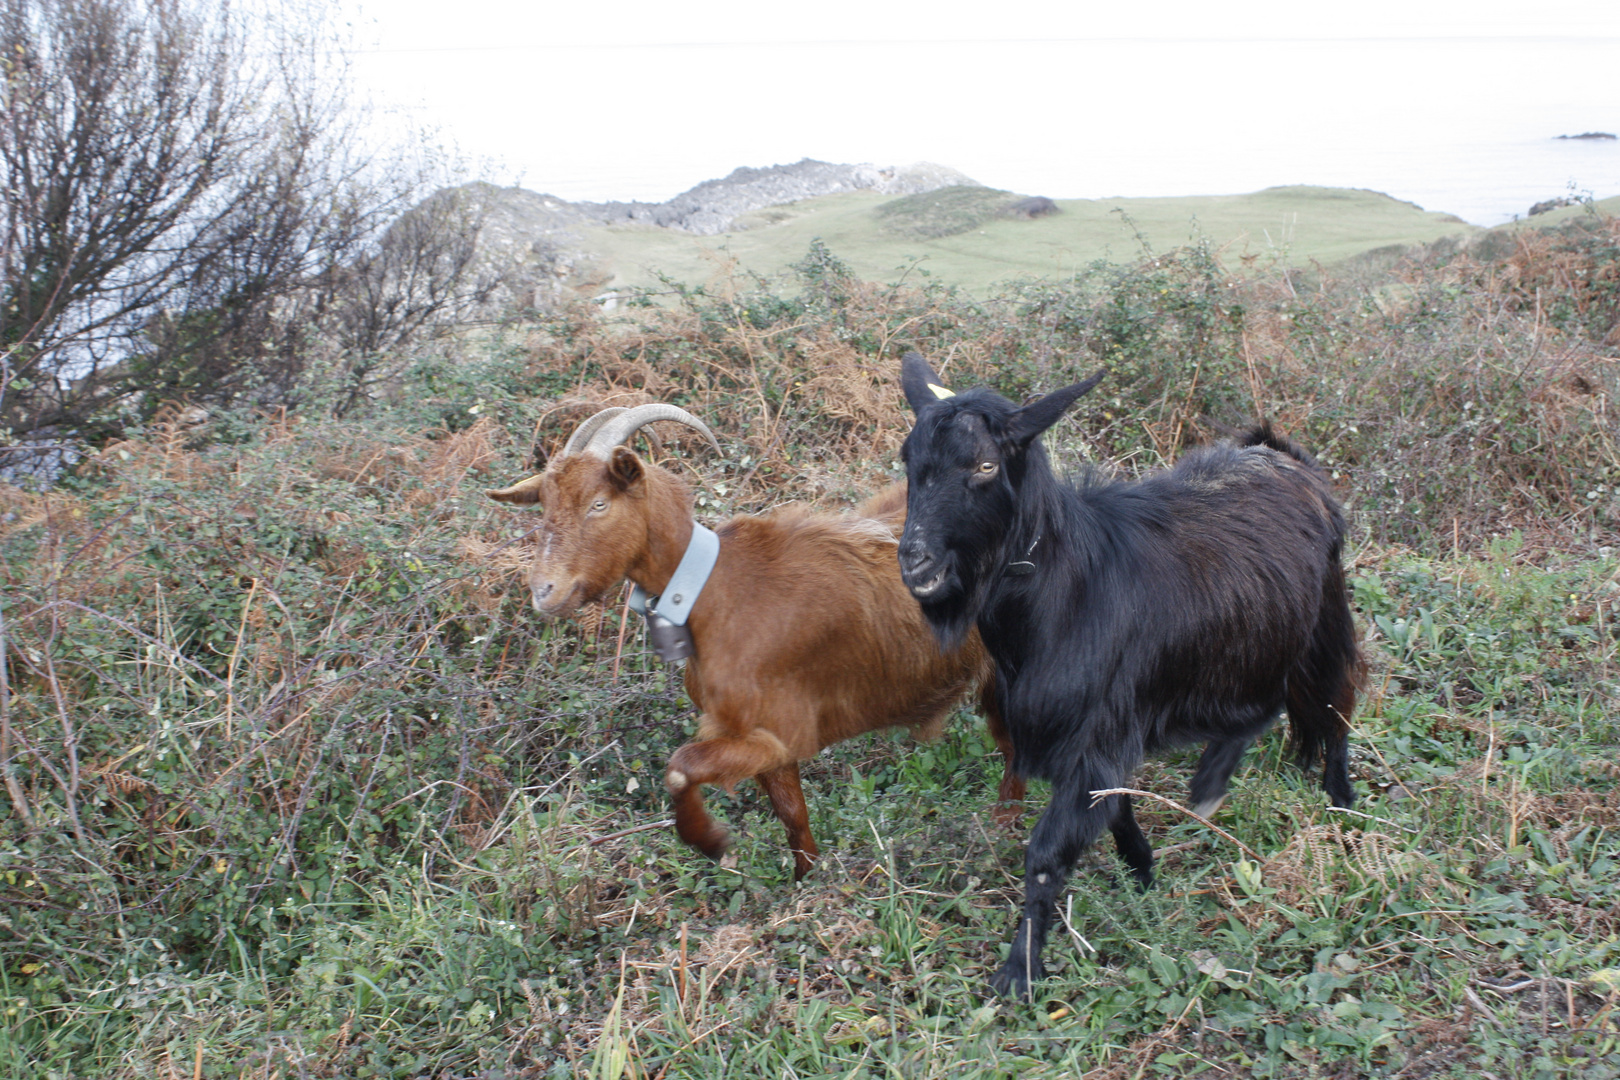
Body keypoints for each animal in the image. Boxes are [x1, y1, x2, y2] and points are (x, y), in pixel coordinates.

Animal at [482, 403, 1023, 880]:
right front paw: (807, 884)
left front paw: (711, 841)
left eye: (598, 503)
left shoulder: (779, 731)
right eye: (545, 507)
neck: (713, 590)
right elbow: (793, 817)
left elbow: (680, 767)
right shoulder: (753, 737)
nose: (544, 591)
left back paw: (1003, 840)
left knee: (1015, 753)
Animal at [894, 352, 1360, 997]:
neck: (1066, 593)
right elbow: (1114, 806)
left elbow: (1046, 855)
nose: (917, 562)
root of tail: (1285, 457)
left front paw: (1020, 971)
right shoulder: (1100, 735)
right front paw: (1142, 868)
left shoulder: (1096, 731)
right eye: (908, 461)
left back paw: (1341, 809)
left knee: (1335, 707)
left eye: (985, 465)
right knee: (1260, 710)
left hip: (1322, 626)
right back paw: (1210, 785)